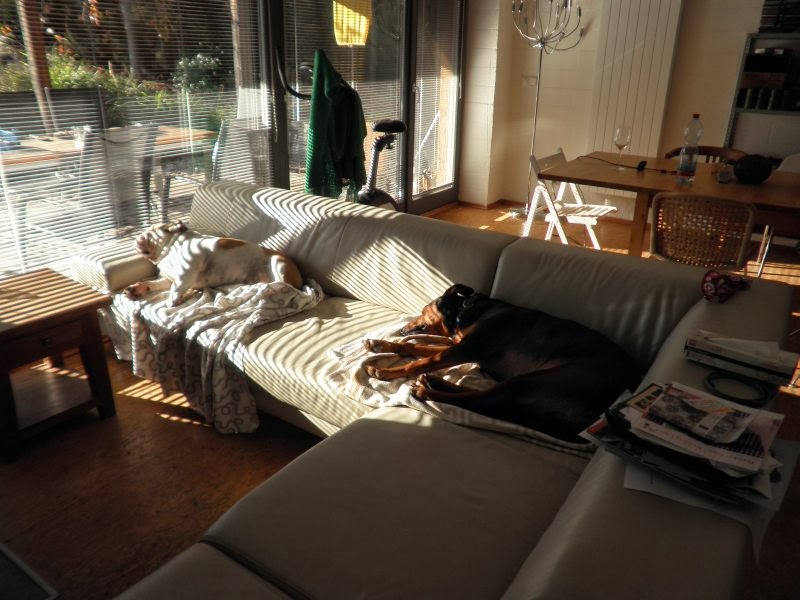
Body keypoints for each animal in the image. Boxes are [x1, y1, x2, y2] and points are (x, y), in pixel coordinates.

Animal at [124, 222, 303, 306]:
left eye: (149, 231)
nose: (137, 235)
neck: (170, 248)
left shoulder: (186, 271)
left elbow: (176, 288)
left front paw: (174, 300)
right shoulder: (168, 279)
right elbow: (154, 283)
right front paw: (137, 288)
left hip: (278, 263)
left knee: (286, 285)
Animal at [363, 284, 641, 441]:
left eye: (423, 310)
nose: (402, 329)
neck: (468, 310)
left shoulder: (467, 348)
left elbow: (421, 360)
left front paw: (384, 371)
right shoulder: (461, 346)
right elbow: (416, 347)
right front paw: (382, 344)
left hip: (544, 379)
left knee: (483, 402)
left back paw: (427, 390)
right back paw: (434, 382)